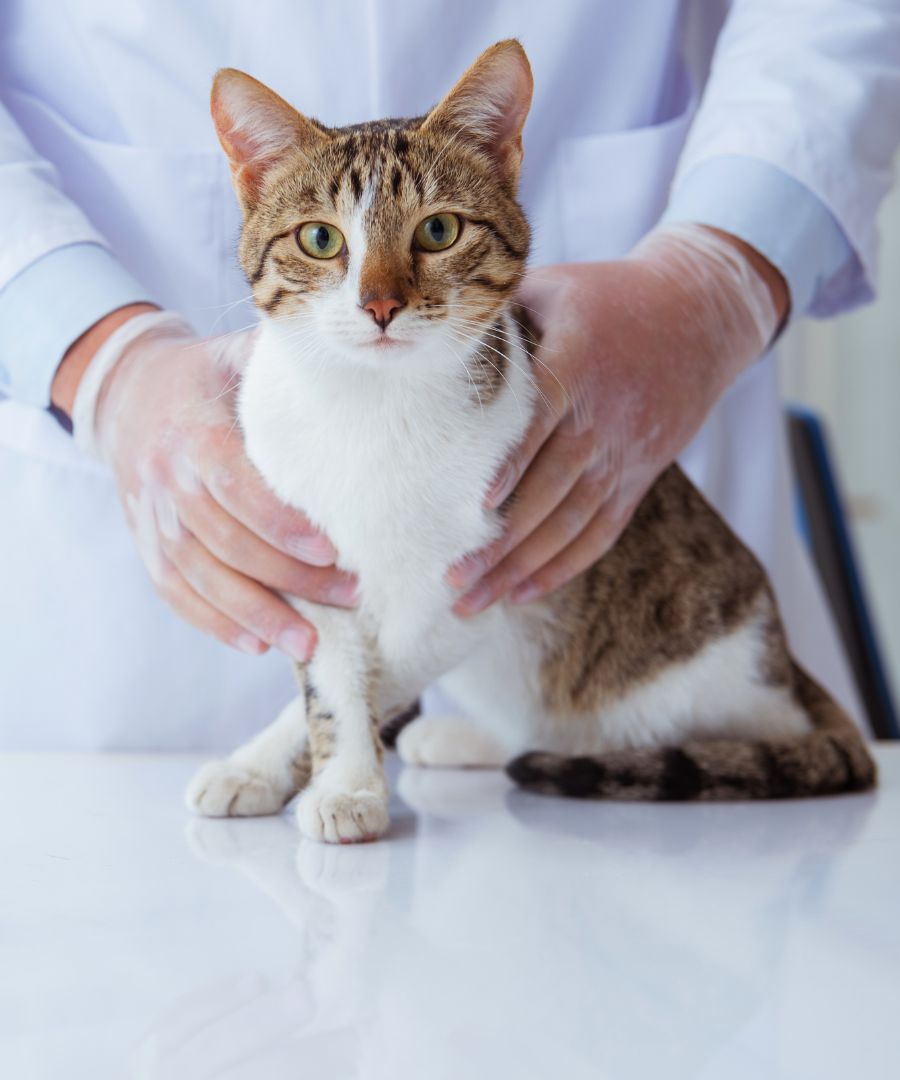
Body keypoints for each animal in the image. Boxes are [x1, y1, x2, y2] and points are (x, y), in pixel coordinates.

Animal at [185, 39, 872, 842]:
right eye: (322, 239)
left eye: (438, 231)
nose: (380, 304)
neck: (371, 405)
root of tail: (790, 668)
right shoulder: (311, 557)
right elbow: (331, 675)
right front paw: (269, 767)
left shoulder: (481, 576)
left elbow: (379, 671)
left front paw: (343, 784)